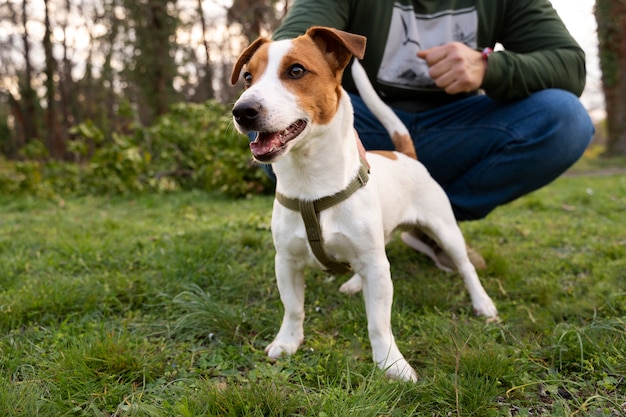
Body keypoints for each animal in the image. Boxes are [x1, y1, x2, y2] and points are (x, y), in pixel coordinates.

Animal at [229, 24, 498, 378]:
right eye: (248, 77)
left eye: (296, 71)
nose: (242, 111)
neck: (311, 186)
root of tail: (405, 154)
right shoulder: (286, 261)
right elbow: (293, 308)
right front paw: (287, 342)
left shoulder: (376, 267)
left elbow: (379, 323)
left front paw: (391, 363)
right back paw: (355, 283)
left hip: (445, 230)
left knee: (465, 267)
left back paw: (482, 302)